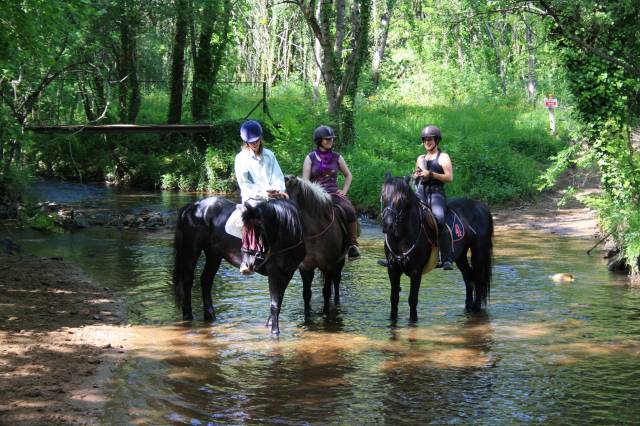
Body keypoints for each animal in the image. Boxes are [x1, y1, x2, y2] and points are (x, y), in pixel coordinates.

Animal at [172, 198, 304, 334]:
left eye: (258, 228)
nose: (247, 264)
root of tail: (193, 206)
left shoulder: (287, 273)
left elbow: (279, 301)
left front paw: (269, 325)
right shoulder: (274, 273)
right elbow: (275, 303)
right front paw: (274, 331)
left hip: (214, 254)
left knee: (206, 281)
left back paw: (210, 317)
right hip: (192, 250)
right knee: (187, 281)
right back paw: (188, 316)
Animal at [286, 175, 350, 318]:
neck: (315, 233)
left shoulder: (329, 266)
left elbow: (326, 292)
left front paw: (325, 314)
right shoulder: (305, 266)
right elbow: (306, 294)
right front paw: (307, 315)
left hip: (340, 261)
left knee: (337, 281)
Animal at [382, 172, 492, 320]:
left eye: (402, 199)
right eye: (383, 195)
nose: (387, 224)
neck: (402, 238)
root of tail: (482, 206)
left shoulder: (416, 271)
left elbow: (413, 299)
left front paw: (413, 321)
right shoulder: (392, 269)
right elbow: (394, 298)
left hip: (479, 251)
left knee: (479, 280)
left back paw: (476, 309)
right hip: (461, 256)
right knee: (469, 279)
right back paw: (468, 309)